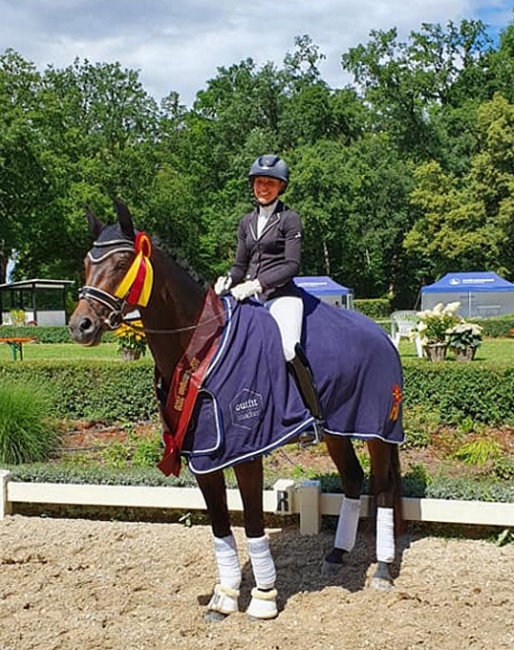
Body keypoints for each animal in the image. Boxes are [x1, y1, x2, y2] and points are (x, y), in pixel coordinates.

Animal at [69, 200, 404, 620]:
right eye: (87, 261)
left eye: (123, 261)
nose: (80, 326)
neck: (200, 345)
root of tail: (381, 334)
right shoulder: (204, 456)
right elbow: (221, 528)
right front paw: (226, 596)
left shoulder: (246, 451)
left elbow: (254, 523)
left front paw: (264, 597)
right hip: (336, 430)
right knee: (353, 478)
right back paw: (336, 555)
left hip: (379, 428)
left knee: (384, 487)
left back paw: (383, 570)